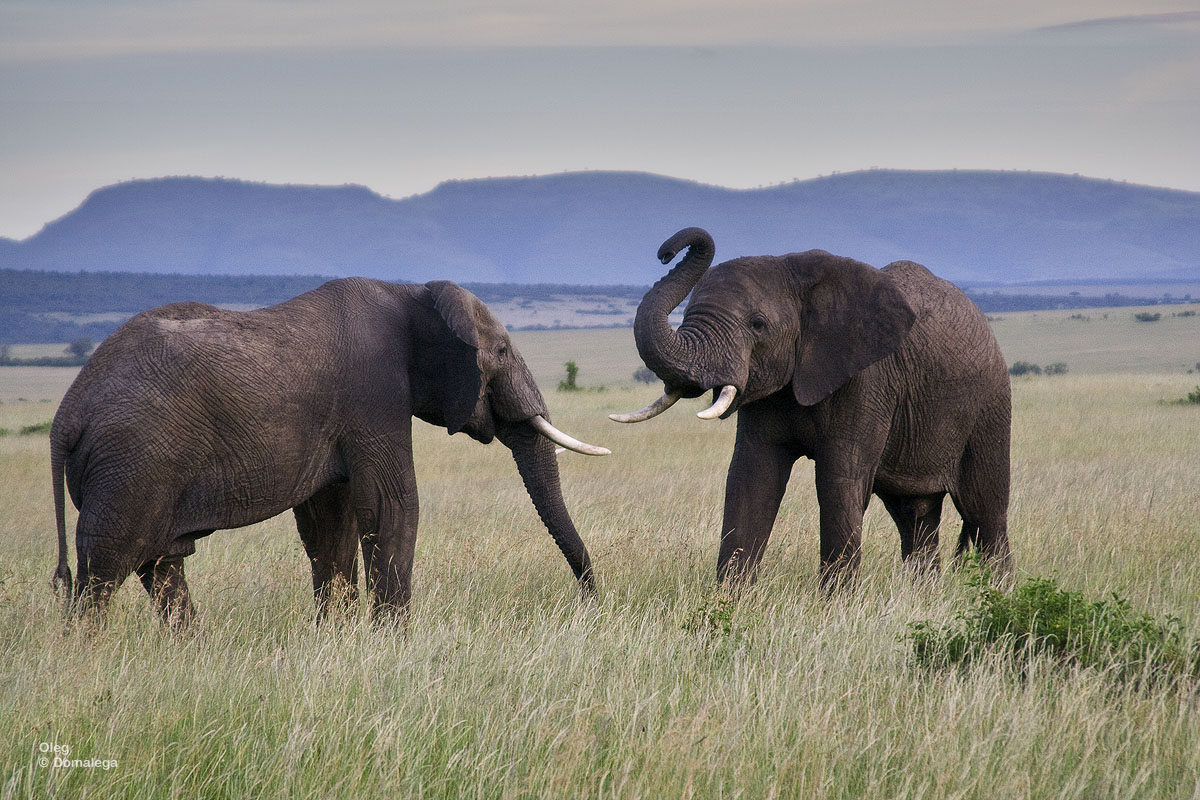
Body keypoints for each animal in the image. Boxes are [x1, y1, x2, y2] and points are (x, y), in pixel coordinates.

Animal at [50, 278, 604, 623]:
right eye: (503, 351)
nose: (592, 606)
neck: (411, 292)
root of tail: (65, 415)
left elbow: (332, 523)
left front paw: (335, 640)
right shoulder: (375, 394)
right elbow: (392, 504)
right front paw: (391, 644)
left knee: (163, 568)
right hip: (131, 464)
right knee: (104, 571)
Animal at [609, 226, 1012, 587]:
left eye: (757, 325)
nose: (665, 252)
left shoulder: (867, 381)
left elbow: (838, 481)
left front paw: (837, 607)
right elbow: (751, 478)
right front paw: (729, 601)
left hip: (990, 404)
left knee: (985, 511)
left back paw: (995, 594)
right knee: (915, 515)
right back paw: (924, 597)